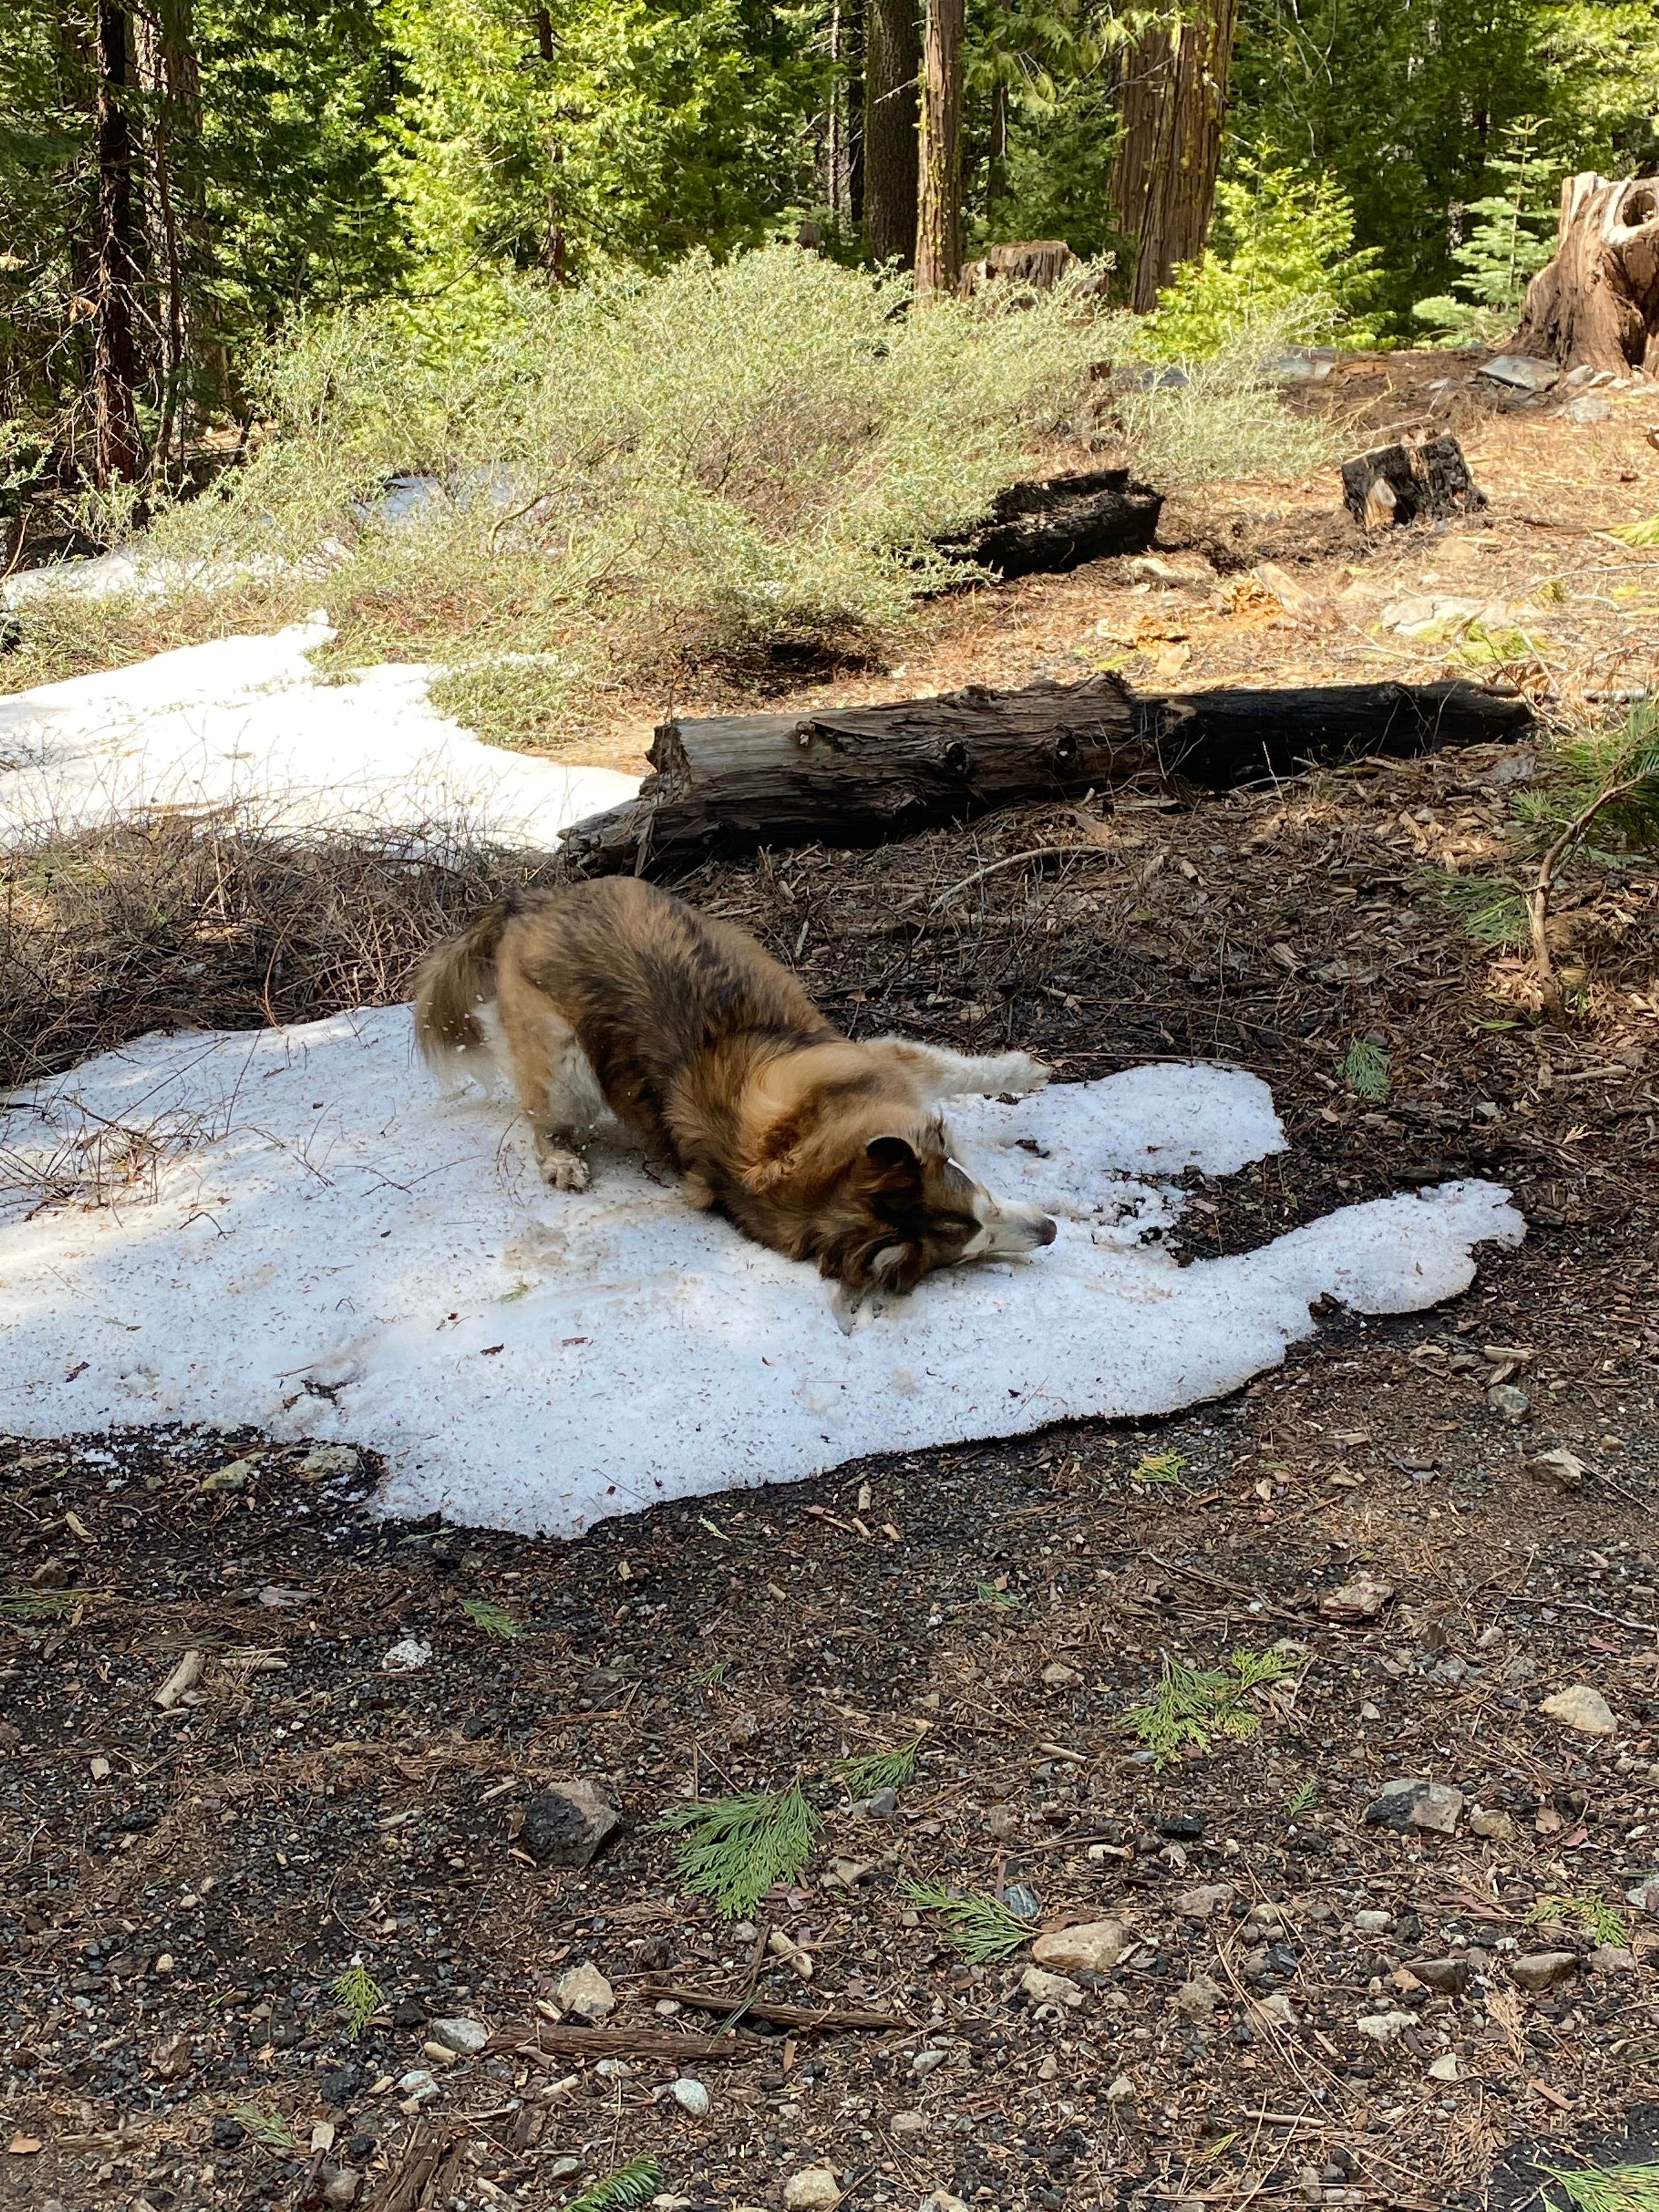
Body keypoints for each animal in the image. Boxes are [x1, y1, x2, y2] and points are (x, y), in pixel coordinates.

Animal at [422, 876, 1057, 1291]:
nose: (1050, 1231)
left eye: (984, 1204)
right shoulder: (885, 1064)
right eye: (974, 1246)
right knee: (540, 1120)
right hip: (564, 1062)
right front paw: (1027, 1069)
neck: (809, 1148)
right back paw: (561, 1160)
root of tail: (530, 899)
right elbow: (955, 1069)